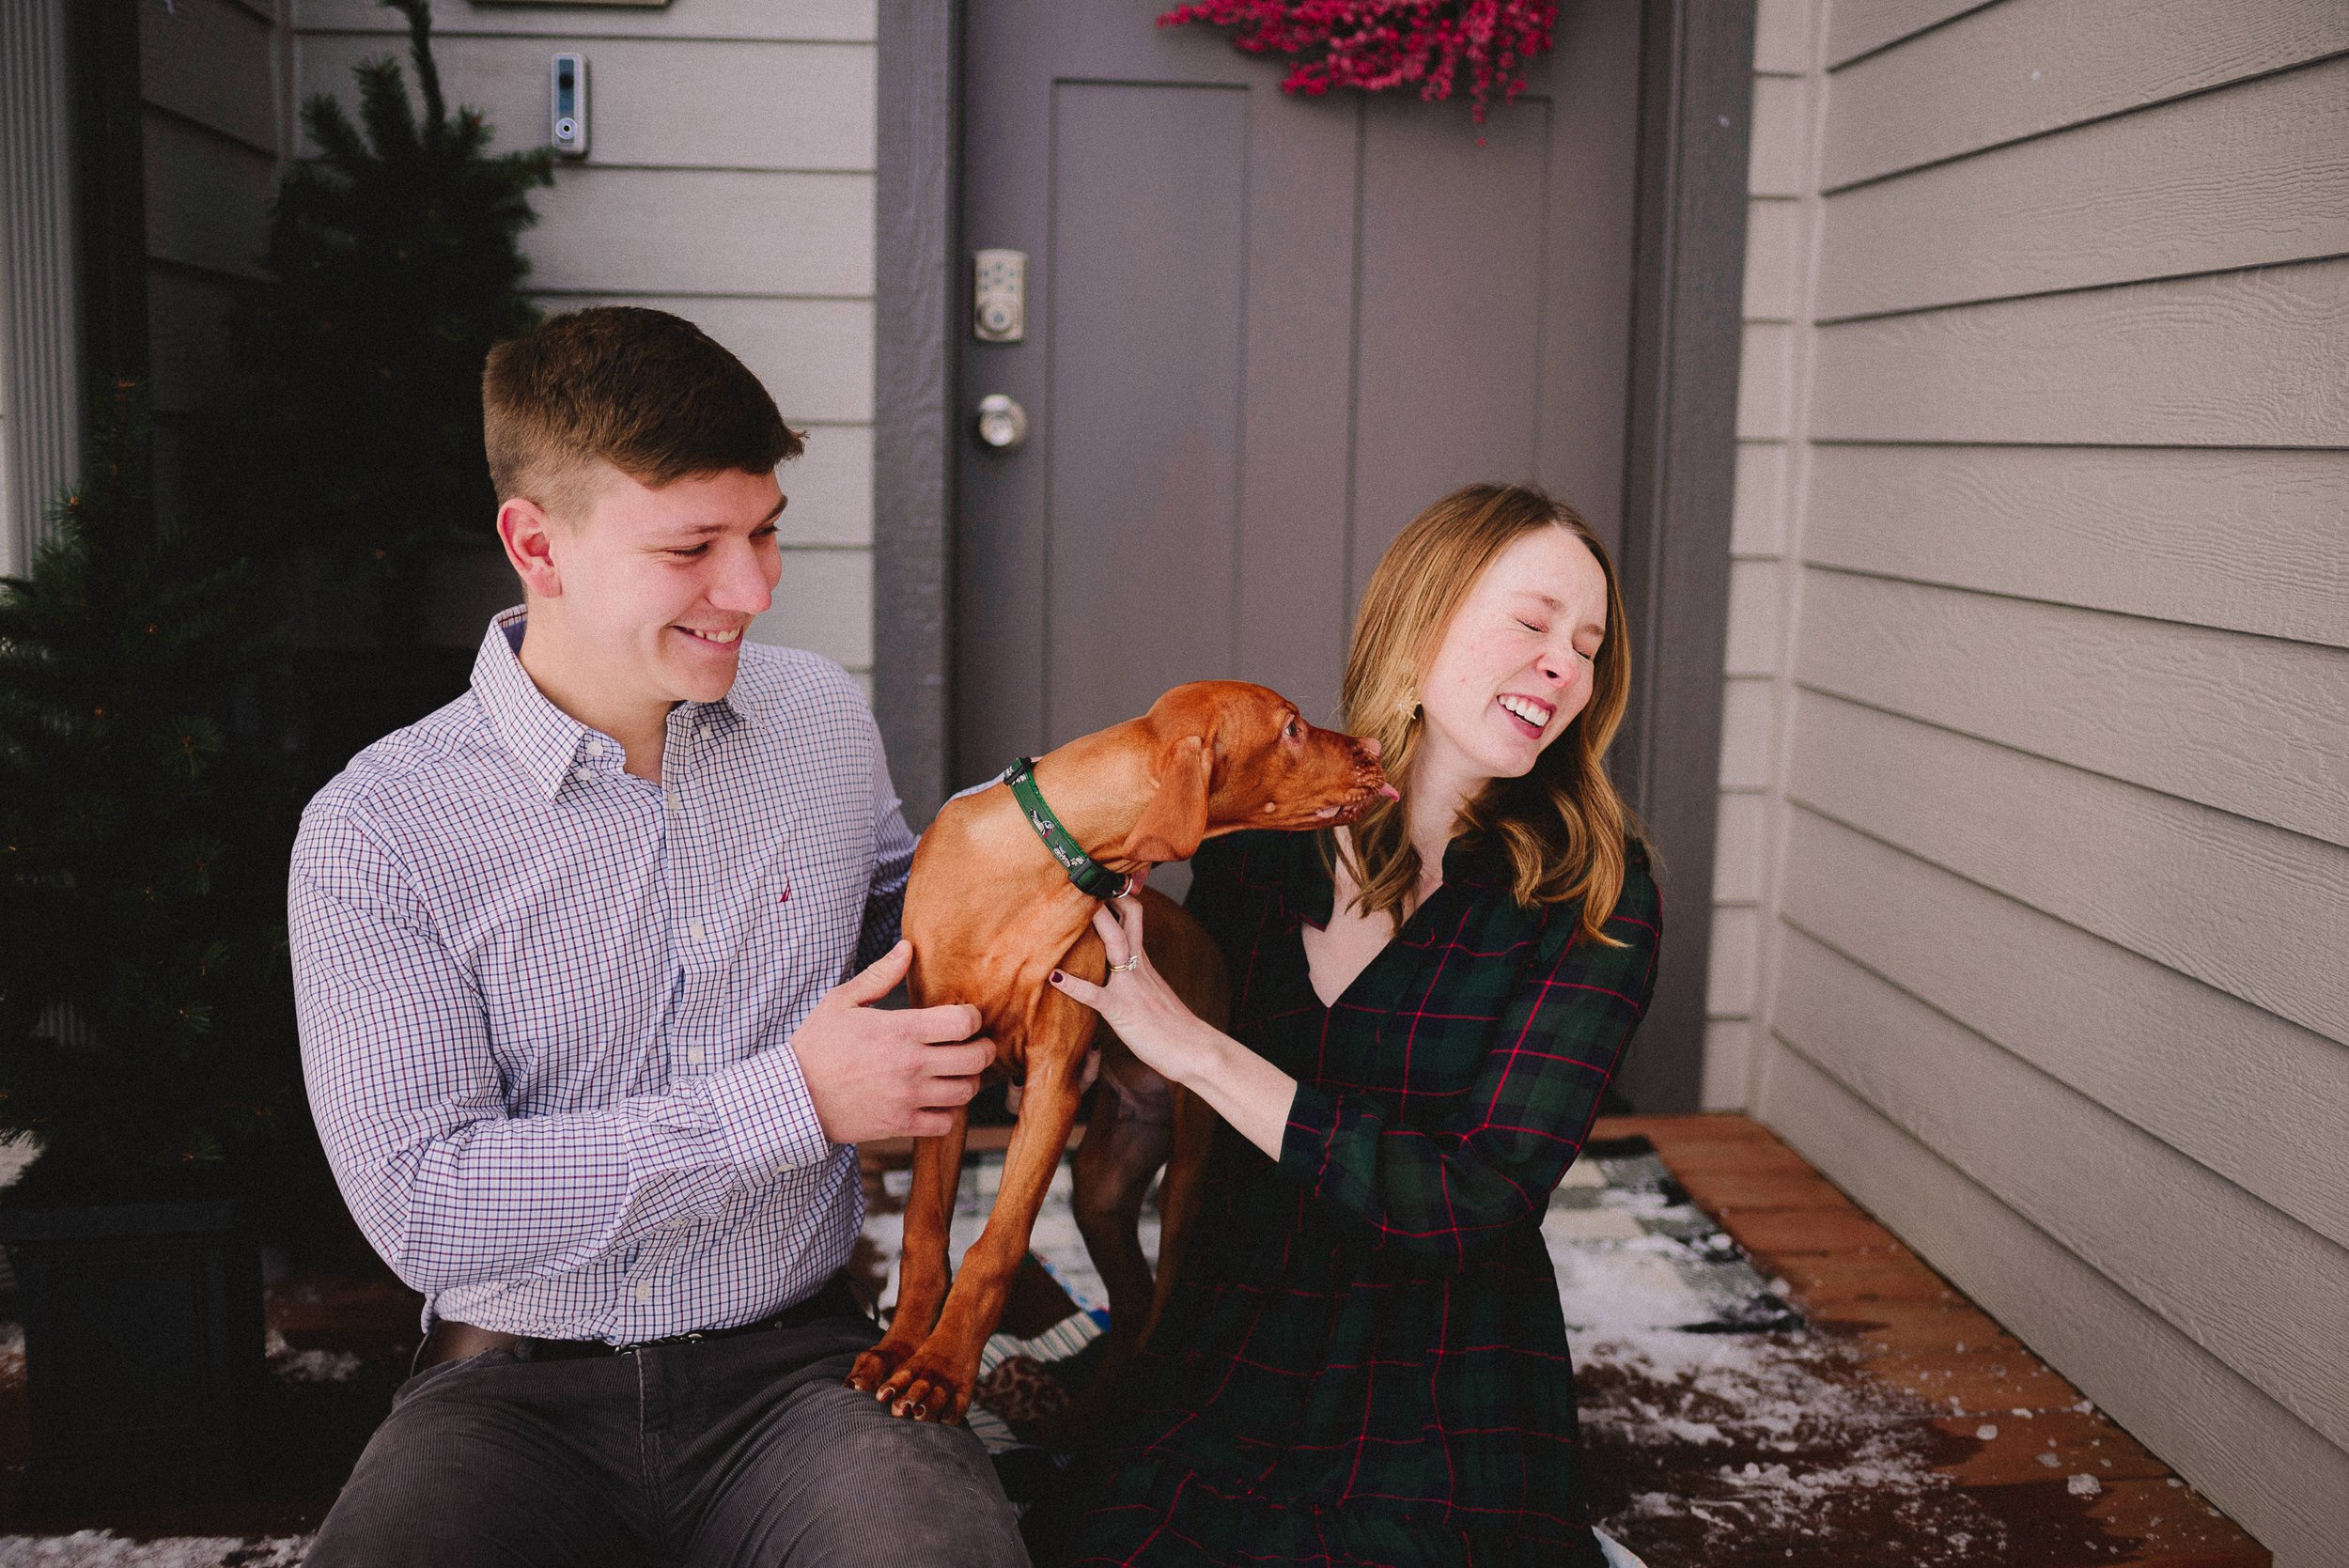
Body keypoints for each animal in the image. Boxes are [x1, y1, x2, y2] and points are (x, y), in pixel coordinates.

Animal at [850, 680, 1381, 1427]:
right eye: (1292, 728)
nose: (1377, 748)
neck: (1044, 862)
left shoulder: (1054, 1080)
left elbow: (996, 1244)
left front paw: (941, 1372)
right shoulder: (945, 1055)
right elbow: (924, 1231)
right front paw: (898, 1350)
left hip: (1187, 1170)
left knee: (1158, 1305)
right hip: (1102, 1183)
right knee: (1129, 1306)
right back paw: (1080, 1418)